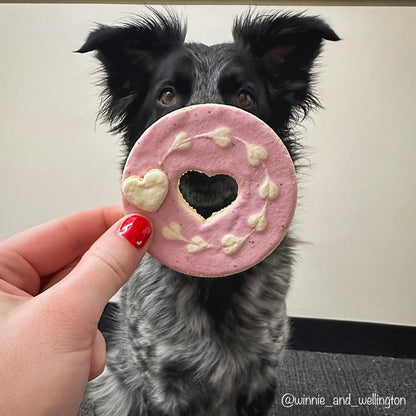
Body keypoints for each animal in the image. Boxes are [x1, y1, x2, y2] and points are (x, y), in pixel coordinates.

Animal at [77, 7, 338, 416]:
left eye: (245, 96)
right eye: (167, 95)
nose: (206, 166)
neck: (213, 283)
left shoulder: (261, 377)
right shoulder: (161, 383)